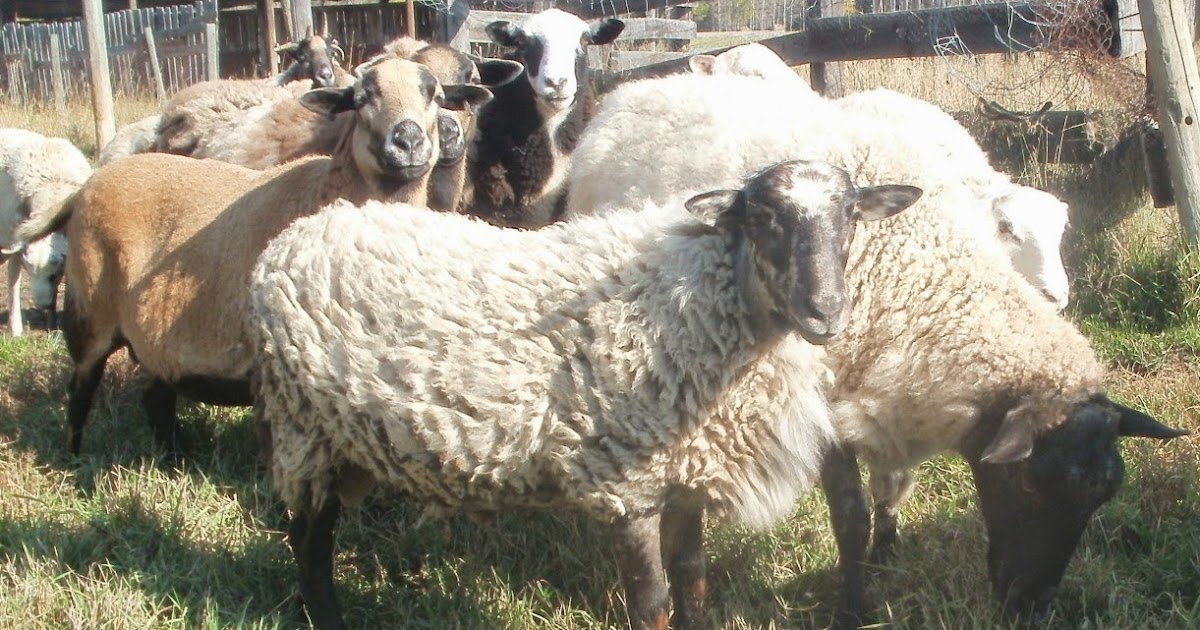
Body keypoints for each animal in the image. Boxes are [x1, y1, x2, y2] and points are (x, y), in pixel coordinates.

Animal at [0, 128, 91, 336]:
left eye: (55, 273)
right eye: (27, 267)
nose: (41, 305)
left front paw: (52, 323)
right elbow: (13, 280)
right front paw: (16, 329)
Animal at [17, 58, 494, 456]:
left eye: (435, 96)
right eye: (361, 99)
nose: (409, 141)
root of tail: (88, 184)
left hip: (157, 341)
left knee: (156, 398)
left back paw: (174, 458)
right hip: (89, 311)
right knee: (80, 390)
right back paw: (74, 460)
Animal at [247, 159, 922, 630]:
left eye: (851, 215)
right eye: (762, 218)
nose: (825, 313)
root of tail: (299, 233)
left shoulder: (683, 474)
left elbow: (694, 583)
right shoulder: (624, 484)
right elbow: (652, 603)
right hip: (304, 431)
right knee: (308, 545)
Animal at [560, 72, 1185, 627]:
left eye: (1101, 500)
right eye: (1028, 482)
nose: (1030, 606)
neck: (921, 270)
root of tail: (635, 89)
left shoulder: (897, 385)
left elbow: (892, 487)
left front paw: (888, 553)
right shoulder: (827, 407)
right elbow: (850, 519)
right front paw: (854, 608)